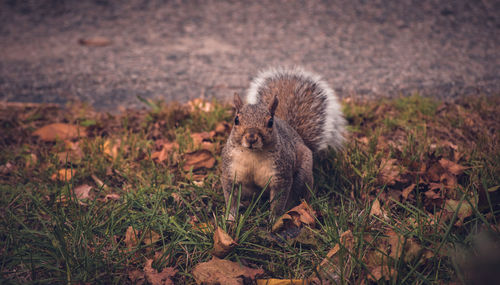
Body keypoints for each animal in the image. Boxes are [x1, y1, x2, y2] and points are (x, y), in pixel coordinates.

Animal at [221, 66, 346, 220]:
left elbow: (278, 200)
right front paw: (230, 216)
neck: (252, 154)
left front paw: (274, 218)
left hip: (302, 173)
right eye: (236, 120)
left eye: (270, 122)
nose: (251, 138)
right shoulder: (230, 170)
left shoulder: (281, 175)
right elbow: (230, 195)